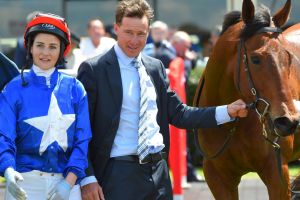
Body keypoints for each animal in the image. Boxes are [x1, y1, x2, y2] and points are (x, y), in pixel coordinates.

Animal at [193, 0, 300, 198]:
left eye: (288, 57)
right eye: (255, 59)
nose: (287, 121)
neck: (232, 126)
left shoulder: (278, 173)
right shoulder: (217, 177)